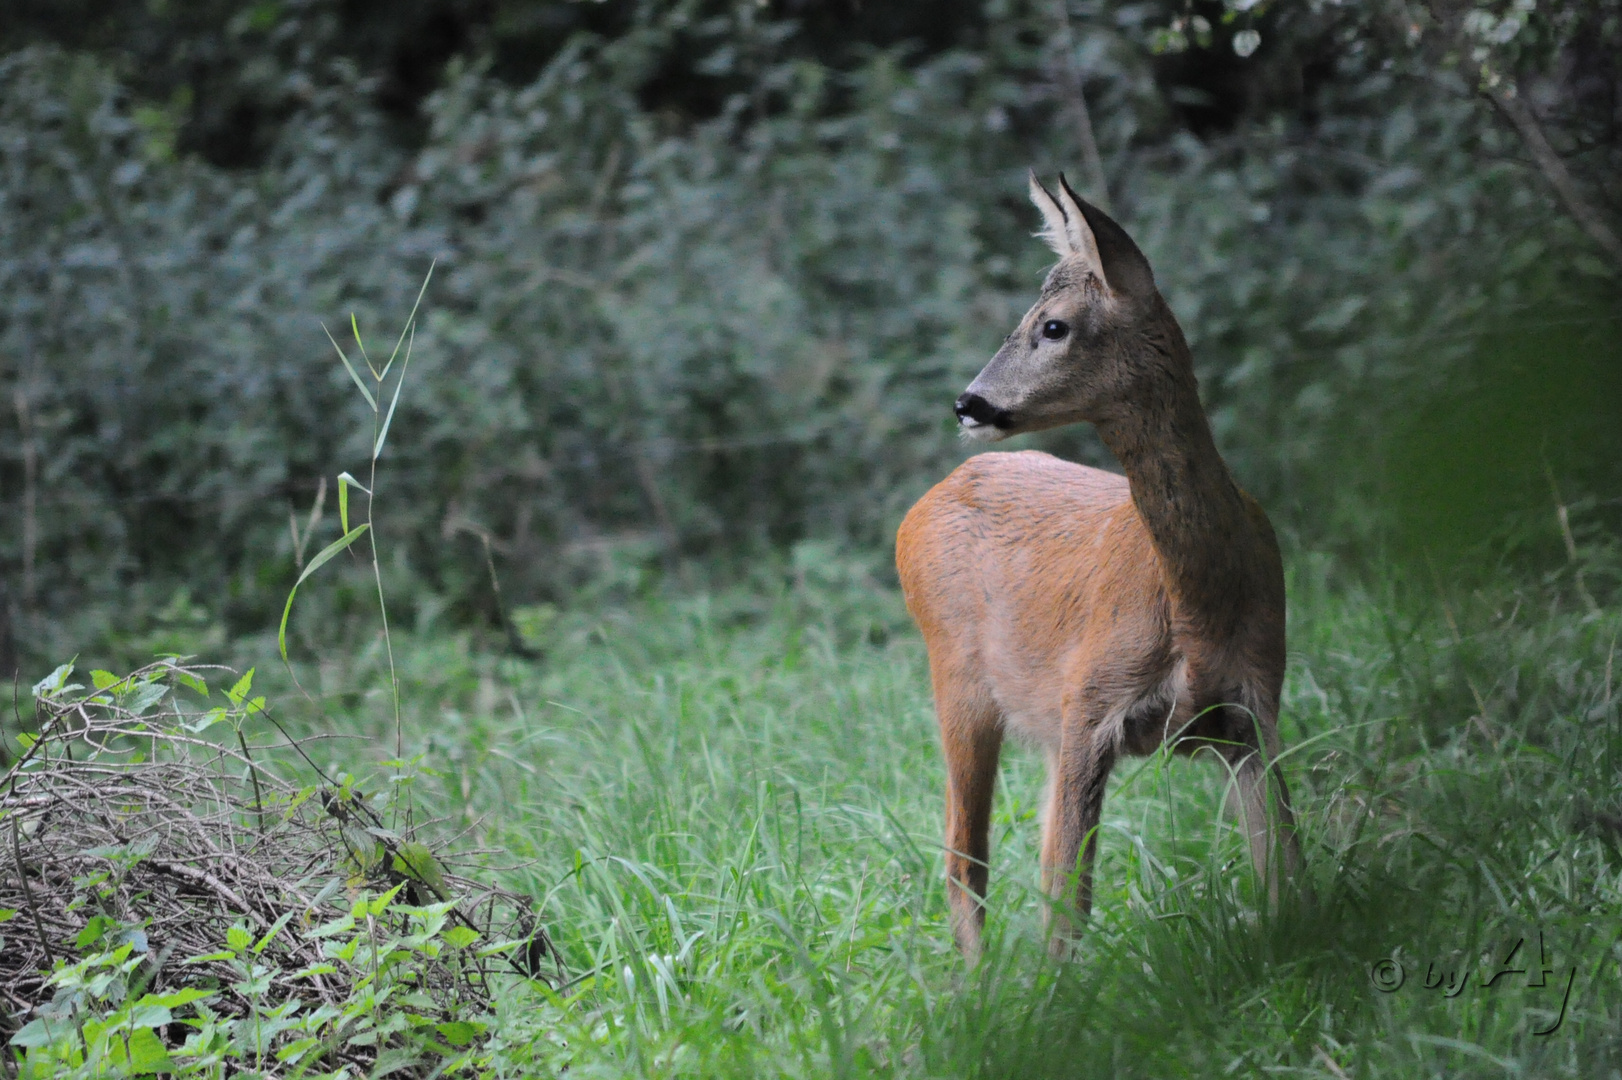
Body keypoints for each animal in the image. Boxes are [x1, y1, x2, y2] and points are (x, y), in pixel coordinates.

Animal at [901, 172, 1304, 953]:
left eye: (1052, 325)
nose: (968, 403)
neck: (1195, 606)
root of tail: (920, 508)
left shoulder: (1252, 703)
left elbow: (1284, 860)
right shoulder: (1089, 703)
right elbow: (1068, 901)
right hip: (958, 680)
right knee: (966, 857)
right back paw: (978, 982)